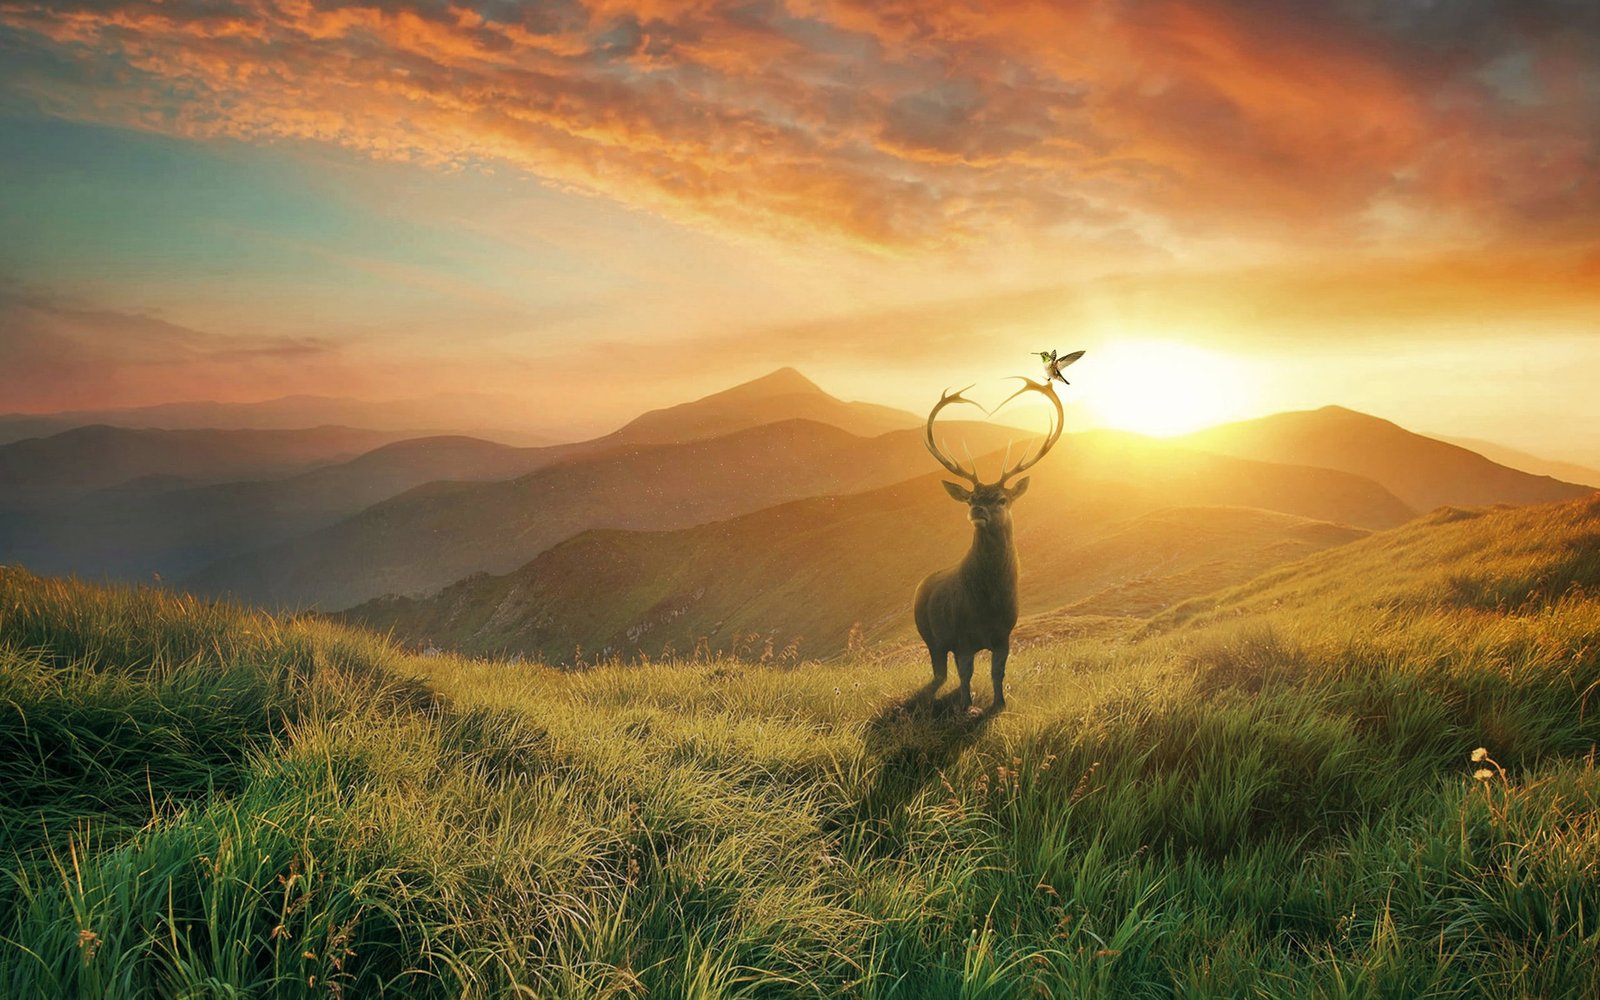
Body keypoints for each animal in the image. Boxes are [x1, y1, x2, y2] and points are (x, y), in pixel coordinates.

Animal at [913, 377, 1063, 713]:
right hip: (930, 635)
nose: (977, 510)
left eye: (1002, 499)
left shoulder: (1004, 635)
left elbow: (998, 672)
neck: (986, 605)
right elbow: (966, 674)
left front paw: (1000, 703)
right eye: (970, 498)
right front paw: (966, 707)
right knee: (939, 672)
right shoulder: (961, 637)